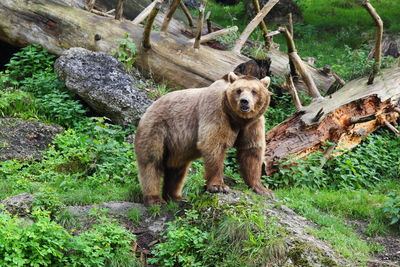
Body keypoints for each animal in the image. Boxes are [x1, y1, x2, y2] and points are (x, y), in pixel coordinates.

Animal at [134, 72, 272, 206]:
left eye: (254, 91)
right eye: (239, 90)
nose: (244, 101)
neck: (238, 119)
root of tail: (149, 108)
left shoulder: (253, 123)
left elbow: (251, 151)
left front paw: (263, 189)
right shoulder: (216, 112)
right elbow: (213, 145)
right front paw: (219, 186)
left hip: (177, 147)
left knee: (177, 171)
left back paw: (175, 197)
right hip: (157, 130)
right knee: (151, 163)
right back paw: (155, 199)